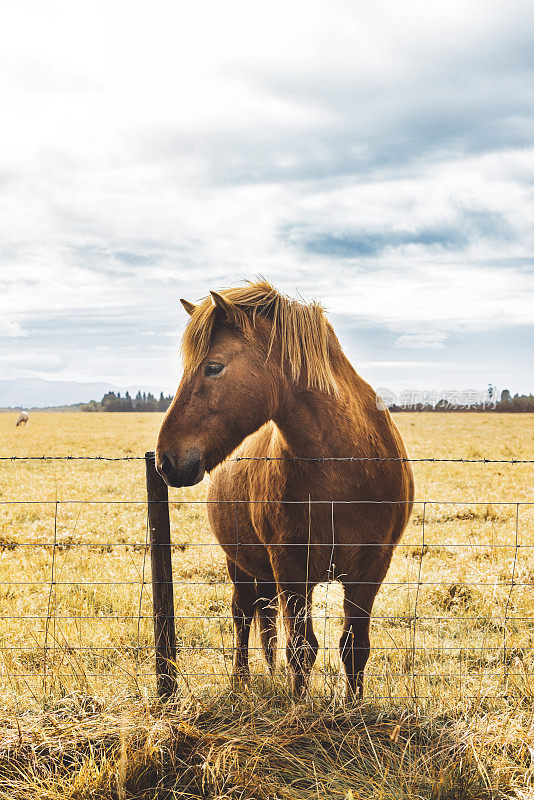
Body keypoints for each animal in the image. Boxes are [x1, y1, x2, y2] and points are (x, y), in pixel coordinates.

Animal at [155, 282, 414, 700]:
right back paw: (242, 683)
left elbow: (354, 647)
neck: (342, 469)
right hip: (241, 566)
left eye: (213, 367)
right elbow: (302, 647)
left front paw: (354, 707)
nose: (166, 460)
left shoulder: (371, 568)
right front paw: (299, 705)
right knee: (243, 617)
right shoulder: (291, 568)